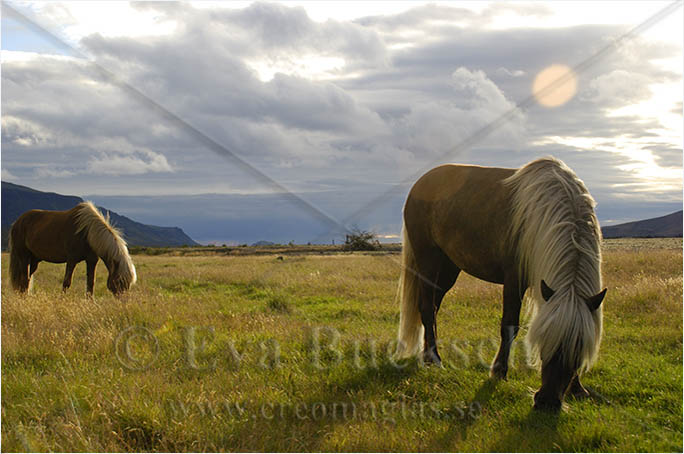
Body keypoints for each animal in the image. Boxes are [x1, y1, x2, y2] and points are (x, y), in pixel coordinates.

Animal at [9, 203, 138, 298]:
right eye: (119, 281)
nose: (123, 302)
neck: (87, 232)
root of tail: (17, 222)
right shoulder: (71, 259)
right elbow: (67, 282)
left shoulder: (92, 261)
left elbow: (91, 283)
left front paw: (90, 302)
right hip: (23, 257)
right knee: (24, 279)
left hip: (34, 260)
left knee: (26, 279)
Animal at [398, 156, 608, 412]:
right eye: (544, 342)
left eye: (578, 348)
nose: (547, 402)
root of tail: (418, 185)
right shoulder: (514, 279)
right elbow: (509, 325)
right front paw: (499, 371)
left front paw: (577, 388)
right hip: (428, 259)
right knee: (428, 309)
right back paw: (435, 359)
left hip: (448, 268)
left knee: (432, 308)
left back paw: (427, 357)